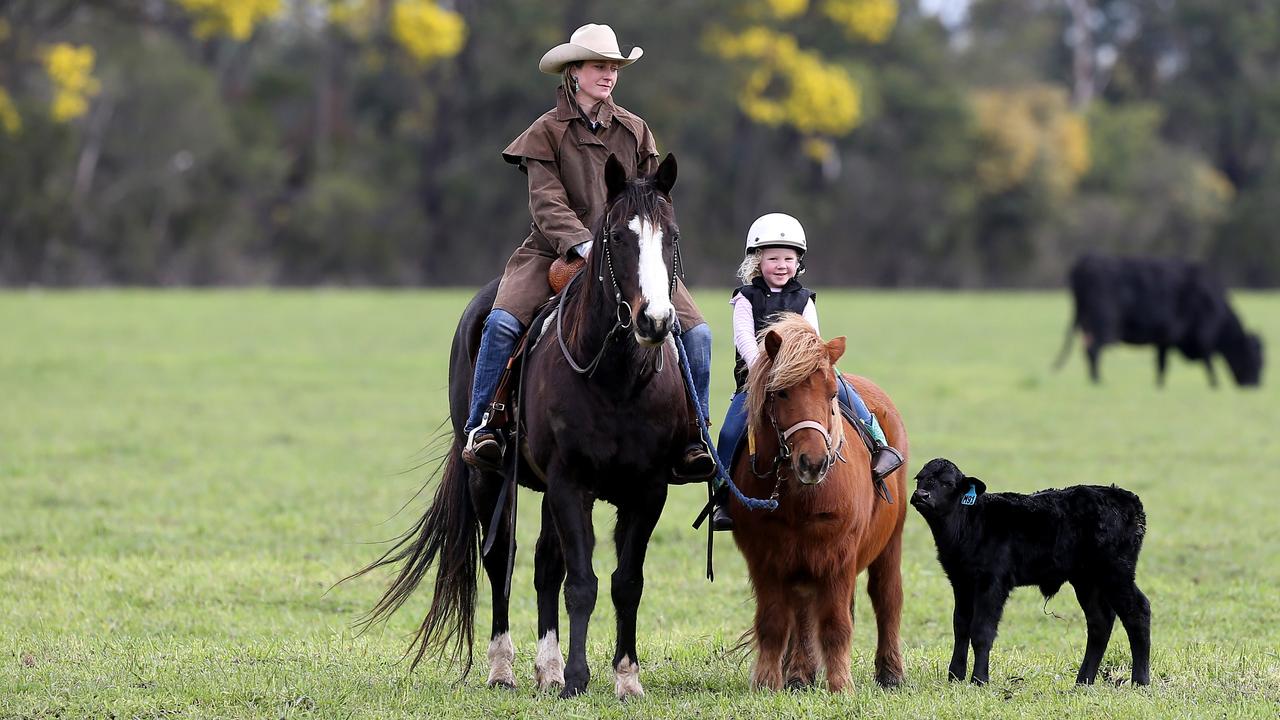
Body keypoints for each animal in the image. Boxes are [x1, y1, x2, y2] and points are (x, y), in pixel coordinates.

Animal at [345, 154, 691, 696]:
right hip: (489, 476)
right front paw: (577, 679)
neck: (616, 379)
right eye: (618, 236)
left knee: (545, 563)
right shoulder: (571, 483)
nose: (654, 321)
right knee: (500, 561)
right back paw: (503, 668)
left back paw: (546, 668)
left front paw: (626, 678)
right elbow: (582, 582)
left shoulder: (648, 490)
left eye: (671, 236)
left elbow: (625, 582)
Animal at [732, 313, 911, 691]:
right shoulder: (765, 557)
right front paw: (767, 683)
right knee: (802, 612)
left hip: (890, 541)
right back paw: (799, 674)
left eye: (831, 394)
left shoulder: (838, 556)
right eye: (781, 392)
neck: (800, 497)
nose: (813, 463)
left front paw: (841, 686)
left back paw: (890, 673)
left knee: (887, 597)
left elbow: (835, 624)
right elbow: (774, 622)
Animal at [911, 453, 1152, 681]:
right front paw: (955, 676)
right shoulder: (960, 581)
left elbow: (981, 631)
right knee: (1099, 622)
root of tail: (1126, 497)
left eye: (948, 483)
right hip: (1087, 580)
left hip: (1116, 572)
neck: (969, 522)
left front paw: (979, 679)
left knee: (1138, 612)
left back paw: (1140, 680)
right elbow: (961, 626)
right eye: (919, 478)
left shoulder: (992, 583)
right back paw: (1083, 681)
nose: (921, 495)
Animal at [1054, 253, 1264, 386]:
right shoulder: (1200, 335)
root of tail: (1085, 262)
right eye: (1256, 358)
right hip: (1104, 324)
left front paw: (1159, 386)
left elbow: (1161, 364)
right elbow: (1207, 361)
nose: (1256, 385)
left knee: (1089, 350)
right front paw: (1216, 385)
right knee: (1093, 350)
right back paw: (1098, 381)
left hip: (1088, 323)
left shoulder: (1165, 338)